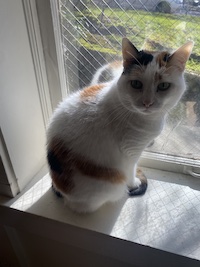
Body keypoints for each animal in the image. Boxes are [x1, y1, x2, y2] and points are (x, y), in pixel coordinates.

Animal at [46, 37, 193, 214]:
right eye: (136, 84)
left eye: (163, 86)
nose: (147, 103)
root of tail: (62, 193)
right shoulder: (130, 151)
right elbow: (130, 170)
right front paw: (134, 182)